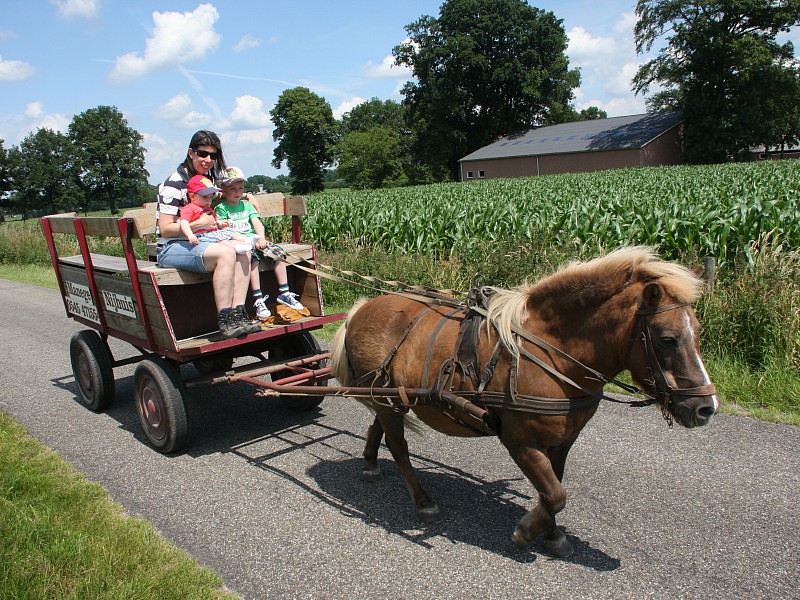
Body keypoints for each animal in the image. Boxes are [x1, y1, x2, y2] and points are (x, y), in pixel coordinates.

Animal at [328, 246, 716, 556]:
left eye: (697, 332)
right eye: (667, 339)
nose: (705, 408)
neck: (549, 351)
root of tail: (362, 308)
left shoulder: (563, 440)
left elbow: (552, 489)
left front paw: (552, 535)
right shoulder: (520, 440)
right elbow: (556, 494)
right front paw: (527, 532)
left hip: (388, 393)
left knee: (378, 424)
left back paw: (369, 462)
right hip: (387, 398)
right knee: (399, 445)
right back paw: (423, 502)